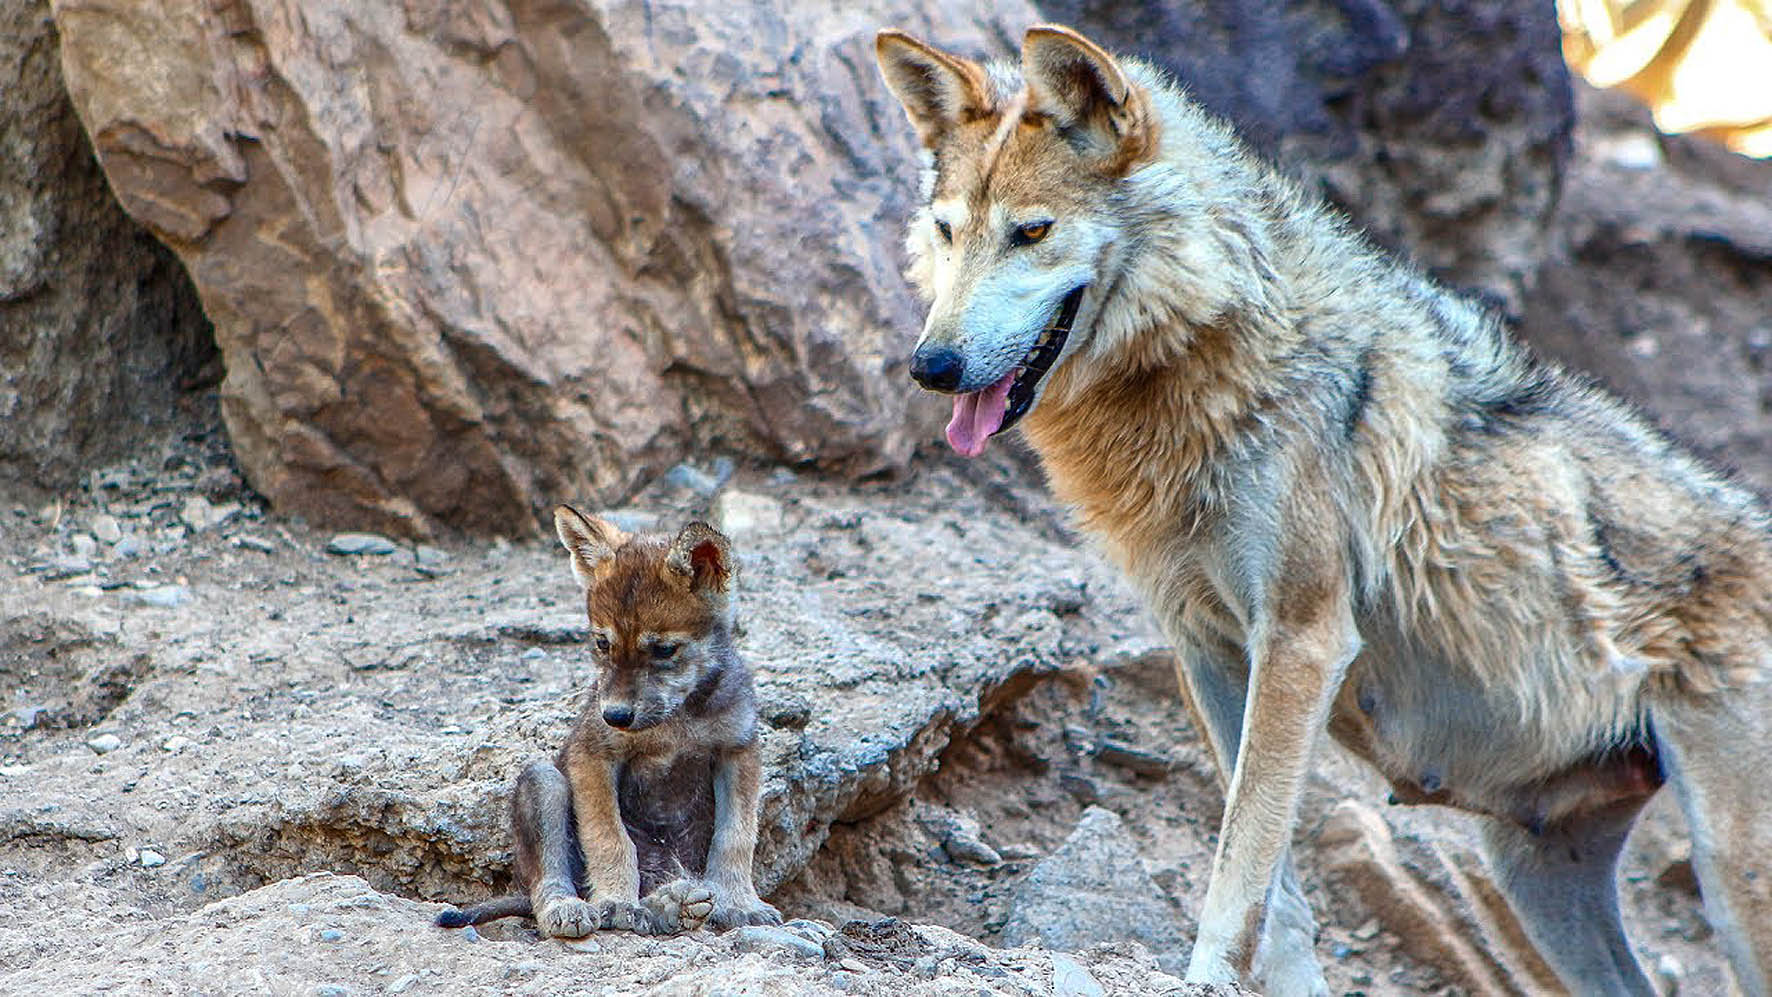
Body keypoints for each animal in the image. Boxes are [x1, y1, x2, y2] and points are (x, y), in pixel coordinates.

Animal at [434, 508, 781, 936]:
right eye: (602, 644)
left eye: (664, 650)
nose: (614, 716)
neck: (676, 720)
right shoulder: (594, 756)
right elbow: (610, 837)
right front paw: (615, 902)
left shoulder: (738, 752)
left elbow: (735, 837)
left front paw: (740, 903)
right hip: (543, 782)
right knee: (548, 882)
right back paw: (571, 909)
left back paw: (674, 904)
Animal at [876, 24, 1771, 997]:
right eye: (948, 230)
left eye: (1031, 232)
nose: (931, 366)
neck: (1216, 355)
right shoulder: (1208, 650)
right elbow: (1276, 888)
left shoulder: (1302, 640)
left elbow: (1243, 857)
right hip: (1535, 882)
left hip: (1729, 882)